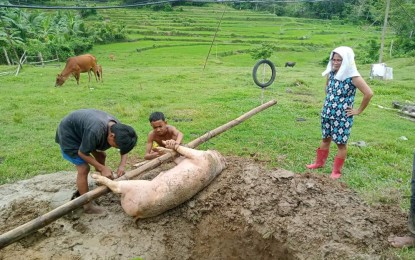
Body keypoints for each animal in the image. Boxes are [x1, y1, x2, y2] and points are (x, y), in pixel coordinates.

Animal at [92, 141, 228, 220]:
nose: (214, 149)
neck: (216, 162)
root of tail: (137, 213)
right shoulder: (185, 160)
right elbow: (175, 156)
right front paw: (161, 149)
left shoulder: (200, 156)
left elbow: (184, 150)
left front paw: (170, 145)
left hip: (136, 186)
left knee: (117, 187)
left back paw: (96, 178)